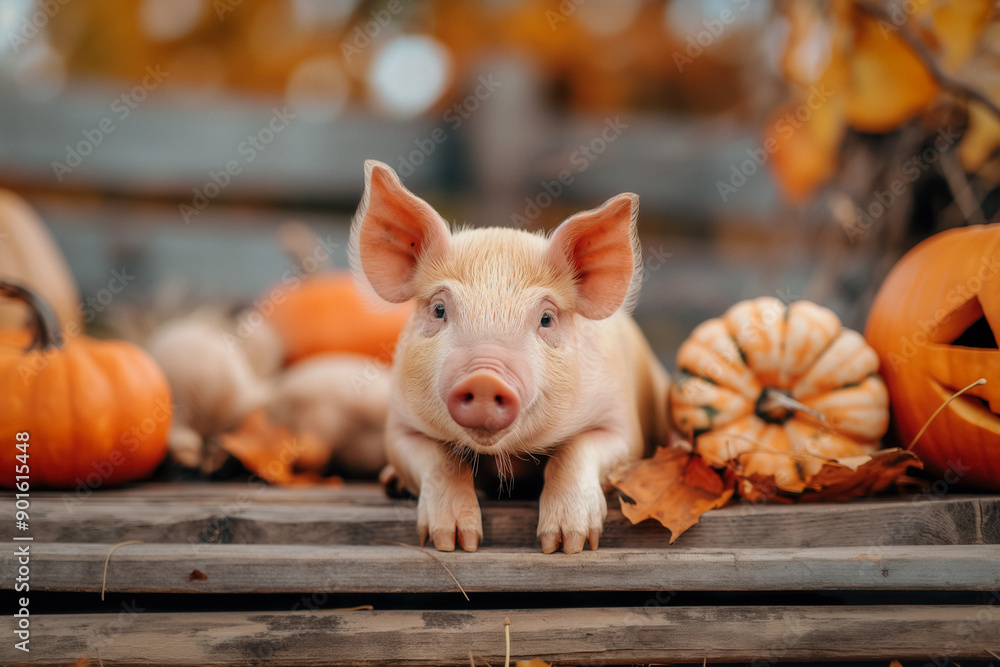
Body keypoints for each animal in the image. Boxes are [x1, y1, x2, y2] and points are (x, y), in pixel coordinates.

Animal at [349, 160, 669, 554]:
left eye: (546, 318)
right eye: (439, 309)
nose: (485, 377)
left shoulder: (621, 423)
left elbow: (579, 450)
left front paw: (565, 544)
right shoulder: (399, 423)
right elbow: (439, 458)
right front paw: (456, 542)